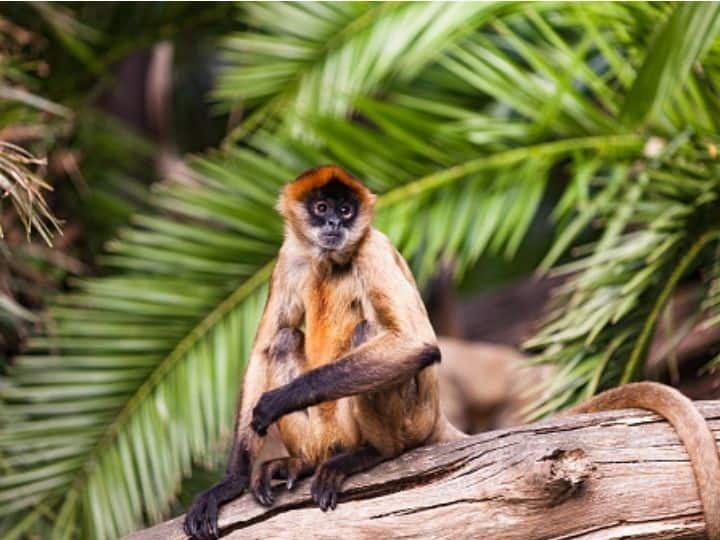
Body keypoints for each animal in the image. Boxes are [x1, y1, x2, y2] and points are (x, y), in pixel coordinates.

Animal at [184, 165, 464, 540]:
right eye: (321, 208)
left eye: (345, 210)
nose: (333, 223)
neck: (329, 262)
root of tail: (435, 417)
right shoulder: (288, 255)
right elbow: (261, 350)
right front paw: (230, 482)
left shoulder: (373, 246)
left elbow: (415, 342)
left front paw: (278, 400)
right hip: (320, 431)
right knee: (284, 339)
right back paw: (302, 463)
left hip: (410, 418)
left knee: (368, 329)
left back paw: (372, 452)